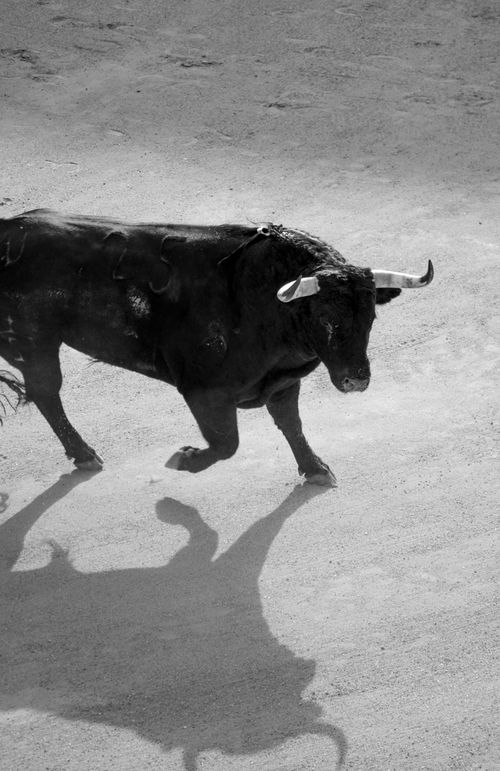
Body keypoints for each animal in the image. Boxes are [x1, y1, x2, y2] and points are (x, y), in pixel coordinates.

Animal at [0, 209, 433, 486]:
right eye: (326, 318)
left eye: (371, 317)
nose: (356, 380)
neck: (264, 302)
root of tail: (8, 230)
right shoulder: (204, 392)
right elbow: (226, 444)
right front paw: (184, 459)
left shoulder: (282, 384)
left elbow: (291, 425)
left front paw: (314, 468)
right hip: (35, 345)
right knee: (47, 392)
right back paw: (85, 454)